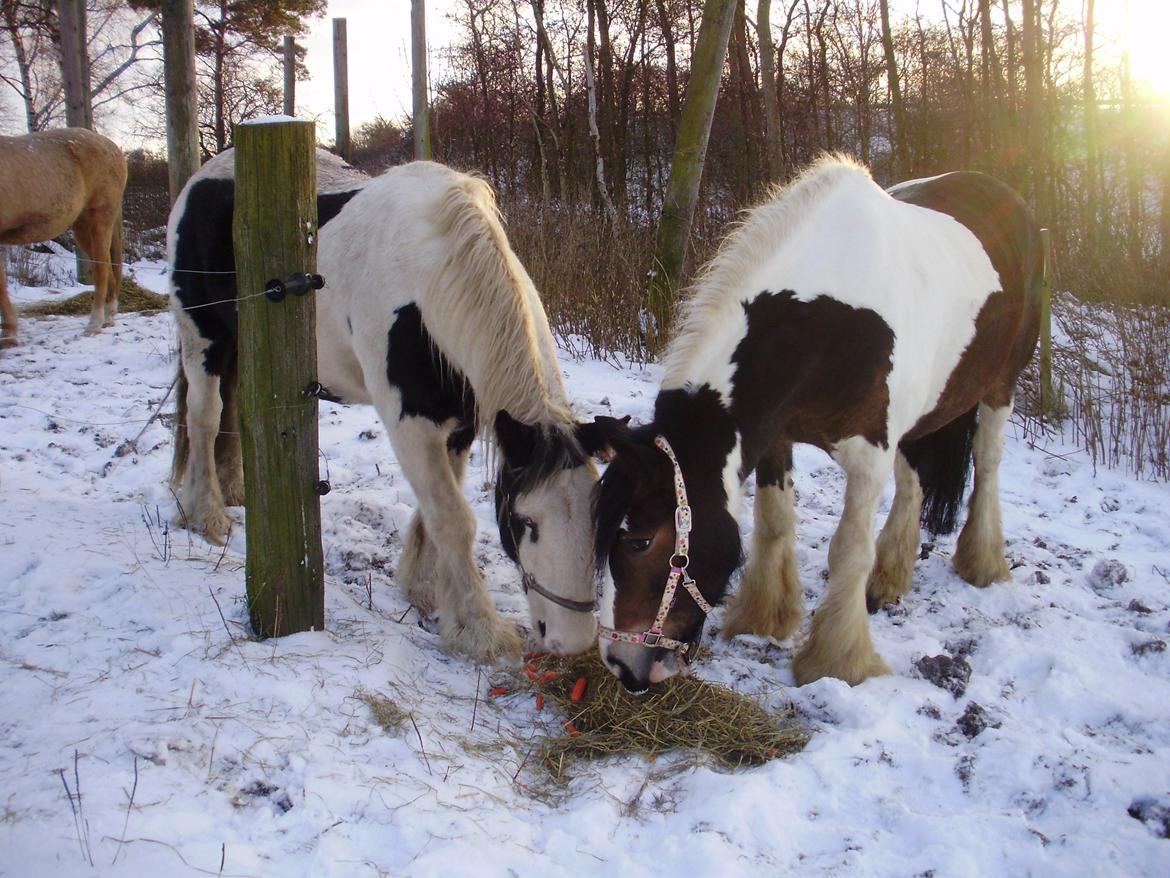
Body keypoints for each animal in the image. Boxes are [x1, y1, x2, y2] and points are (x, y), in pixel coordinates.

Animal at [0, 128, 126, 346]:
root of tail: (112, 146)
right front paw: (9, 333)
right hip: (82, 227)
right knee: (109, 269)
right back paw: (108, 317)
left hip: (100, 218)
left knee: (101, 269)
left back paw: (94, 324)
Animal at [170, 153, 608, 660]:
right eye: (524, 521)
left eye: (597, 519)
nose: (573, 640)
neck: (430, 278)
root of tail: (203, 176)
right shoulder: (409, 423)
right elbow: (454, 519)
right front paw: (478, 629)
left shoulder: (458, 421)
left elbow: (439, 509)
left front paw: (423, 587)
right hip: (203, 336)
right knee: (204, 418)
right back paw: (207, 515)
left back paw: (233, 490)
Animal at [594, 156, 1043, 693]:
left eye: (639, 541)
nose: (623, 666)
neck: (828, 318)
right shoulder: (776, 436)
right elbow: (774, 523)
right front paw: (766, 617)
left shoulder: (869, 456)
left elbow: (848, 551)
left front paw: (838, 661)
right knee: (913, 483)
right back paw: (889, 578)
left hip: (1001, 386)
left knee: (987, 463)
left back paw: (982, 562)